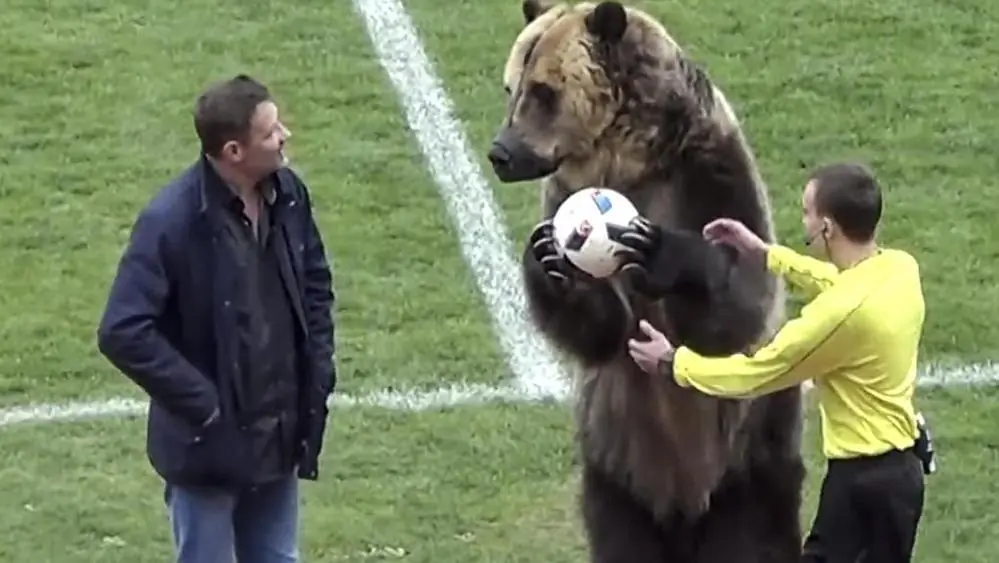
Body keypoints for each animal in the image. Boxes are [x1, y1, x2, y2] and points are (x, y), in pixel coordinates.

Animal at [485, 1, 807, 562]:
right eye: (511, 87)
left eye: (544, 91)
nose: (501, 153)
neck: (629, 160)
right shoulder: (562, 193)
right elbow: (602, 330)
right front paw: (549, 260)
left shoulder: (708, 172)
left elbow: (739, 305)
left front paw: (662, 253)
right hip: (616, 465)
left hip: (748, 454)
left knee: (754, 530)